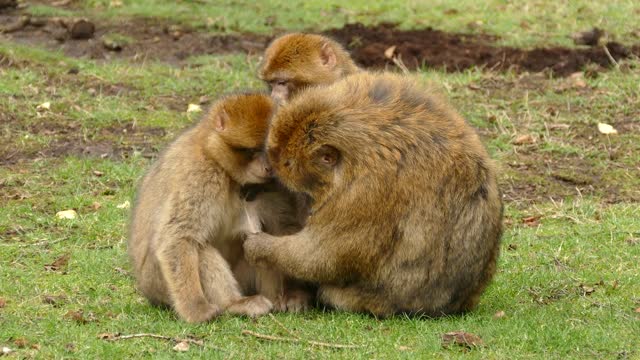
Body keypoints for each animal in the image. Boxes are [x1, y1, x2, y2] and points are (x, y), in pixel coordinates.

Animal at [242, 73, 502, 318]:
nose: (309, 207)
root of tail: (457, 304)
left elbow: (324, 255)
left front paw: (261, 247)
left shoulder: (365, 191)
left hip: (378, 300)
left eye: (287, 163)